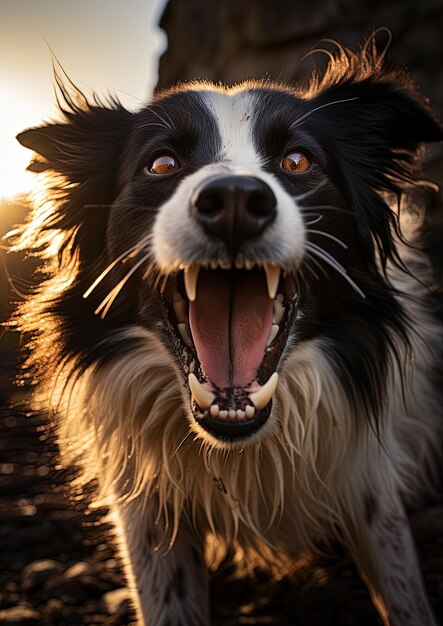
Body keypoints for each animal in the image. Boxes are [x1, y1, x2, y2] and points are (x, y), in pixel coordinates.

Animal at [13, 40, 443, 624]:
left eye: (297, 161)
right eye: (162, 163)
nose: (235, 200)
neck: (243, 449)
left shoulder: (367, 479)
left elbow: (402, 590)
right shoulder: (145, 509)